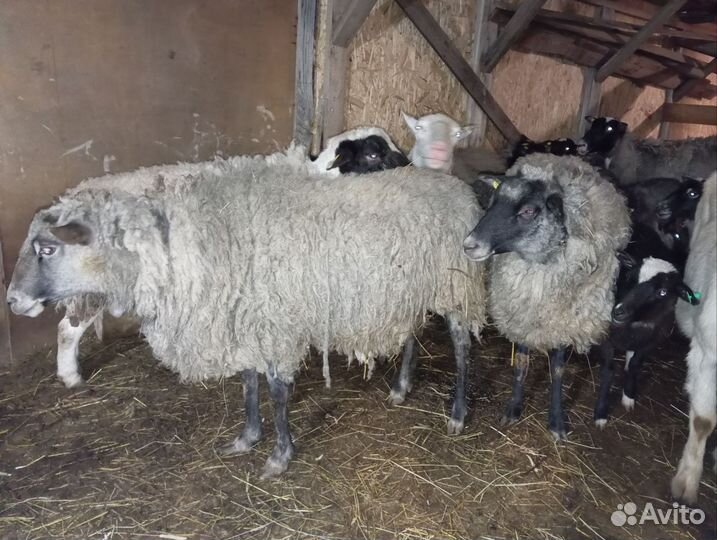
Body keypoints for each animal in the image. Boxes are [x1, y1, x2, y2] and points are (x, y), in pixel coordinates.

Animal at [7, 146, 487, 477]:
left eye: (47, 248)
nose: (11, 300)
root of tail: (454, 185)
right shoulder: (243, 318)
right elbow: (249, 383)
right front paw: (247, 438)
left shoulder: (273, 322)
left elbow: (276, 390)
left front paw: (279, 455)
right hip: (406, 290)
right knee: (411, 333)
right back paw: (402, 388)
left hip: (456, 285)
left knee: (463, 348)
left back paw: (458, 413)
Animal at [462, 154, 631, 439]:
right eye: (493, 202)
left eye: (528, 211)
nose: (469, 245)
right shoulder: (522, 315)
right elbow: (520, 363)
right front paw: (513, 409)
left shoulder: (561, 321)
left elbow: (558, 371)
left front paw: (556, 422)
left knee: (609, 363)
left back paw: (601, 414)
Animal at [593, 255, 700, 427]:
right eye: (629, 277)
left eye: (662, 292)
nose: (619, 312)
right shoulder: (605, 336)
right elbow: (608, 371)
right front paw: (601, 413)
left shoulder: (653, 340)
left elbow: (635, 365)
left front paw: (628, 396)